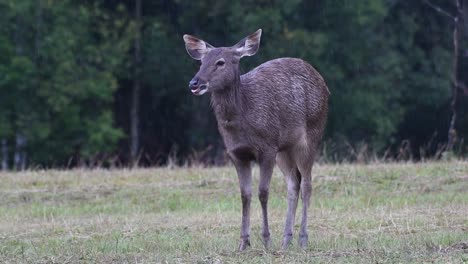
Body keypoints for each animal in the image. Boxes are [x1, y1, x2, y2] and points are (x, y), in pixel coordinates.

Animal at [183, 29, 330, 252]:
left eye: (220, 62)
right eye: (201, 62)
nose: (194, 83)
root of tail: (324, 85)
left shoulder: (267, 147)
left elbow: (263, 192)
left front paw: (266, 239)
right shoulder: (236, 154)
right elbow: (245, 194)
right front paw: (243, 242)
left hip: (311, 134)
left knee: (307, 184)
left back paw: (303, 239)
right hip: (284, 150)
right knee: (293, 184)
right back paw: (286, 240)